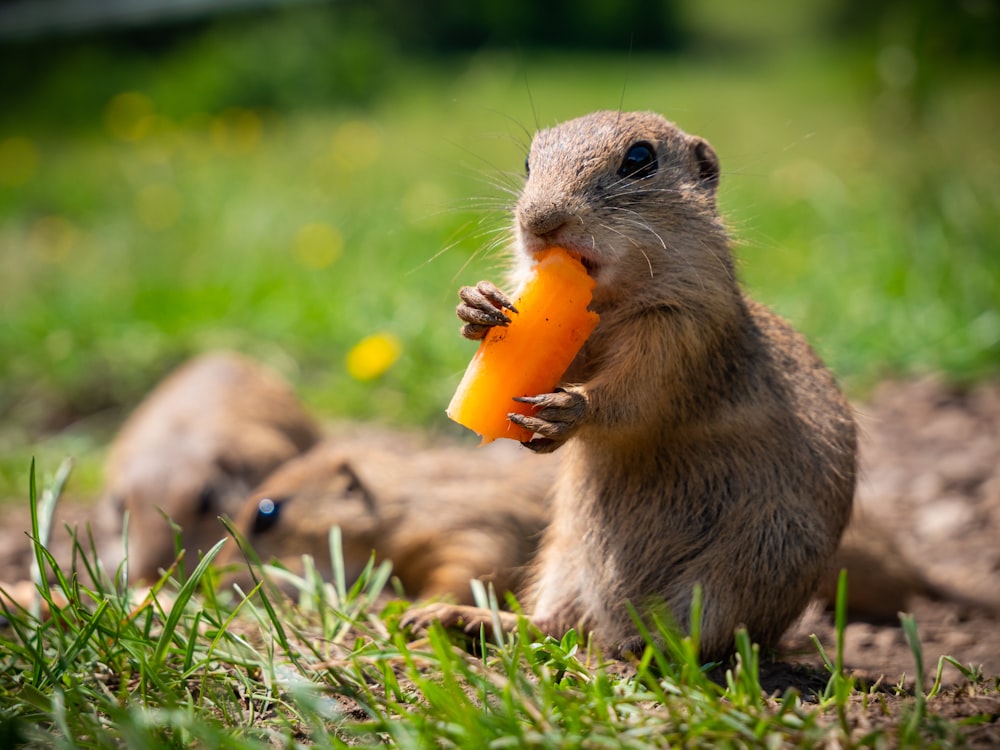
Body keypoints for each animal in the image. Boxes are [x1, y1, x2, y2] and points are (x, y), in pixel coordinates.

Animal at [402, 111, 856, 664]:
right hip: (565, 557)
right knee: (551, 625)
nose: (538, 222)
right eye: (529, 161)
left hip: (746, 567)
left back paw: (642, 647)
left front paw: (569, 410)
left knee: (706, 640)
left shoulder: (681, 332)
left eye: (640, 159)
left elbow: (636, 395)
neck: (612, 300)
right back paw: (457, 618)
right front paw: (479, 305)